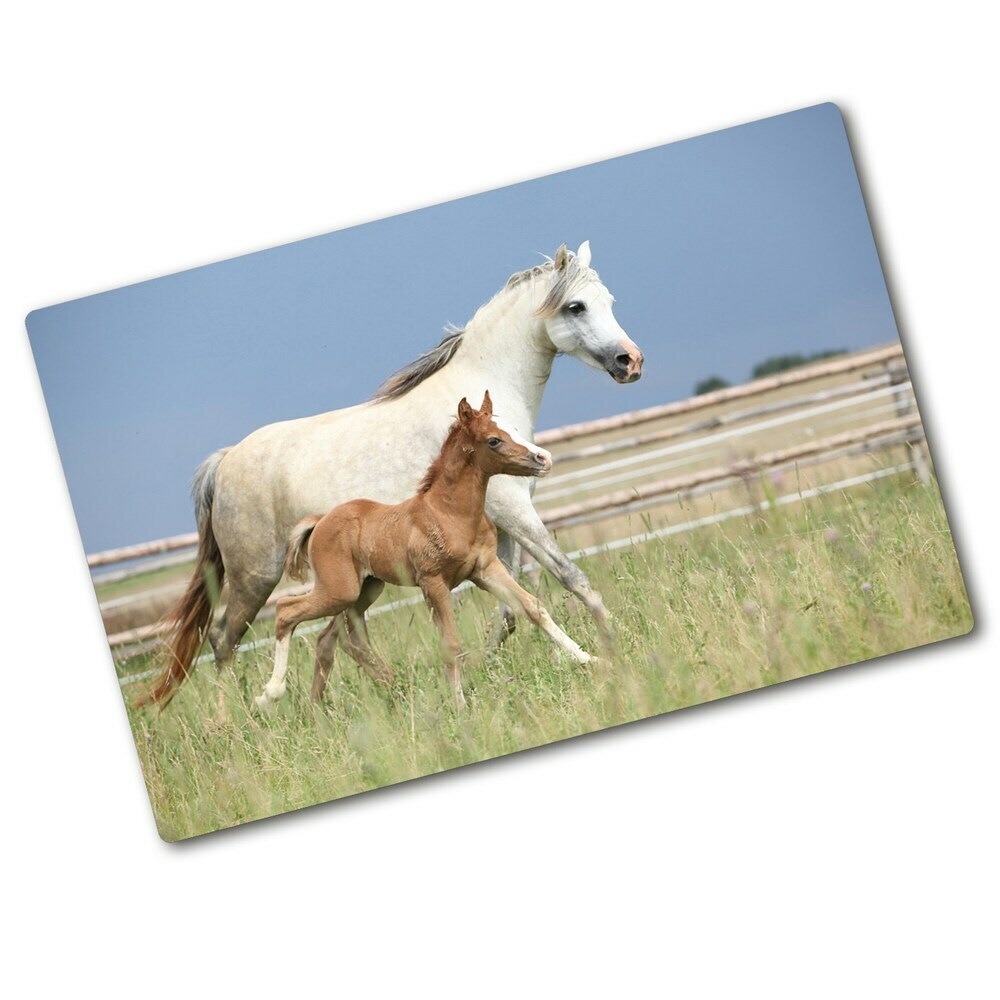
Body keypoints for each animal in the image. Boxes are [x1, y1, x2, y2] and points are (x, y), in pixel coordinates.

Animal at [254, 390, 588, 712]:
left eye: (515, 429)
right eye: (494, 440)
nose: (544, 458)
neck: (449, 514)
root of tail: (320, 521)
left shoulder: (486, 569)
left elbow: (533, 607)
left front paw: (586, 658)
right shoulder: (433, 583)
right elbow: (451, 645)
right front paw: (460, 707)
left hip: (367, 589)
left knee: (346, 639)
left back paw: (376, 694)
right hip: (339, 590)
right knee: (286, 611)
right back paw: (270, 693)